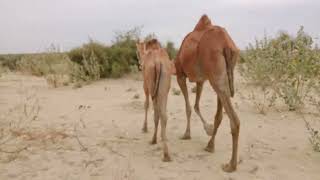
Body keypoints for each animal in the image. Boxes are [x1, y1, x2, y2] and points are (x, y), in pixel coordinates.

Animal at [175, 14, 240, 172]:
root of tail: (226, 45)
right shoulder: (201, 80)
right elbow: (196, 105)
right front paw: (208, 129)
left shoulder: (180, 75)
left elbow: (188, 107)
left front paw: (187, 134)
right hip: (221, 77)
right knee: (220, 115)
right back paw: (210, 146)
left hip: (215, 77)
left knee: (234, 120)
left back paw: (230, 165)